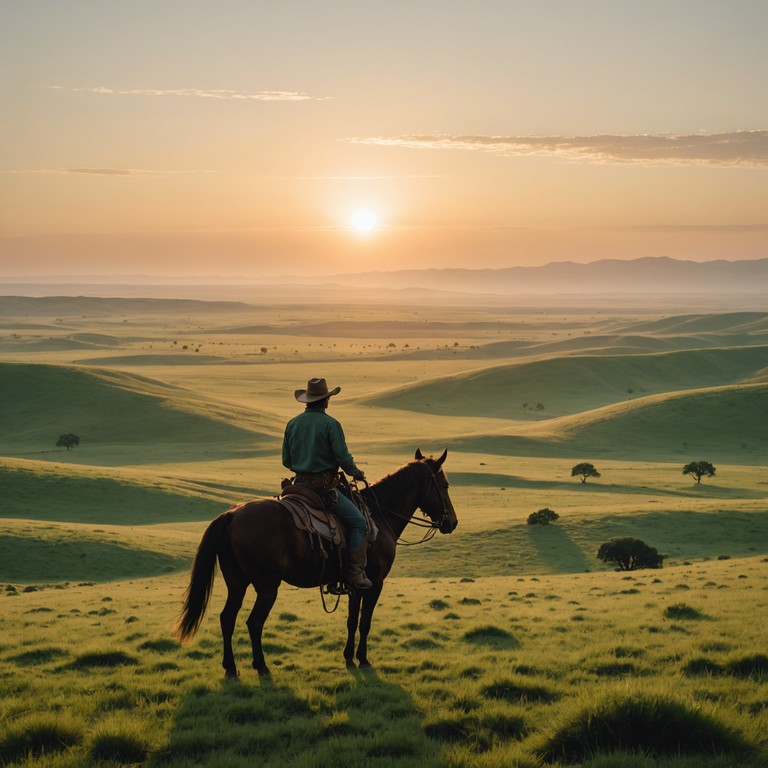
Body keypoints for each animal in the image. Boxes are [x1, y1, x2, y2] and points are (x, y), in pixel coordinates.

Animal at [175, 448, 460, 676]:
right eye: (445, 485)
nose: (452, 522)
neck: (380, 515)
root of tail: (231, 515)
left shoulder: (356, 584)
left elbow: (352, 620)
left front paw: (348, 658)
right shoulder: (375, 582)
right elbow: (365, 622)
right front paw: (364, 659)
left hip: (237, 583)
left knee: (227, 618)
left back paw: (231, 667)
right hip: (267, 586)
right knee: (254, 622)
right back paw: (261, 666)